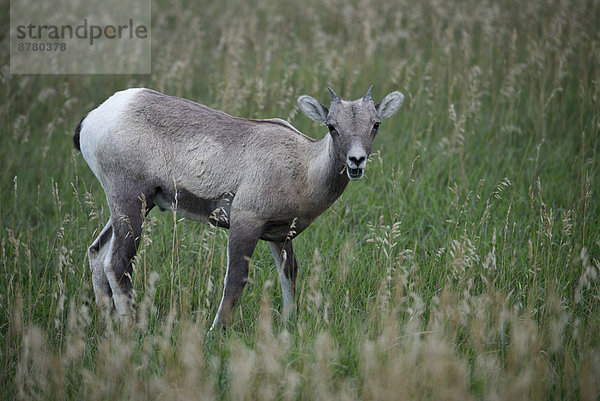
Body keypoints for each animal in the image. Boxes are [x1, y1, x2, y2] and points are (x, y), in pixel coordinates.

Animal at [74, 85, 404, 328]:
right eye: (332, 126)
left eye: (375, 124)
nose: (356, 161)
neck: (303, 169)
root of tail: (94, 118)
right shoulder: (246, 224)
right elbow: (235, 281)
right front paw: (215, 331)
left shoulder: (280, 236)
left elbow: (289, 274)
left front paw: (290, 324)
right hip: (130, 205)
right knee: (117, 264)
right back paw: (131, 331)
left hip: (133, 209)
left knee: (97, 254)